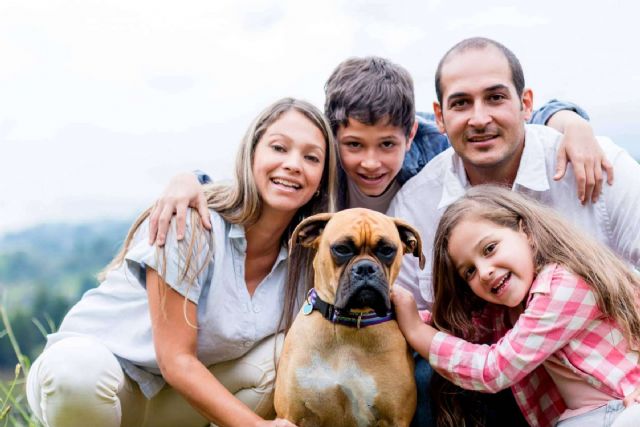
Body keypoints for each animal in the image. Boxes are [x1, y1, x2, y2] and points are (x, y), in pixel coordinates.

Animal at [274, 208, 424, 427]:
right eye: (342, 249)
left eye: (387, 250)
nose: (365, 268)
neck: (348, 326)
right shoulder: (289, 414)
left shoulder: (397, 419)